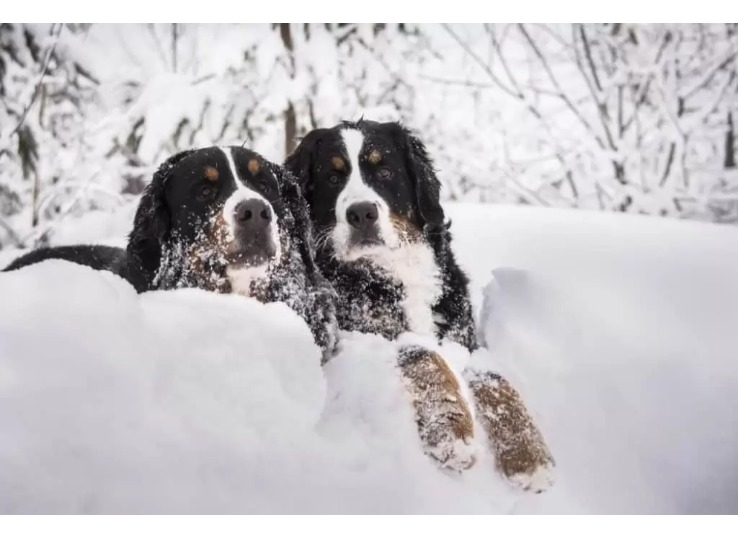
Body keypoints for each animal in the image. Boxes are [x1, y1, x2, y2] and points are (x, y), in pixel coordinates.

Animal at [284, 119, 556, 488]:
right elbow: (421, 354)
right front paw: (451, 431)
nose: (362, 213)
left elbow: (494, 378)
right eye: (332, 177)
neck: (395, 269)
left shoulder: (464, 339)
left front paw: (528, 454)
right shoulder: (361, 336)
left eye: (384, 171)